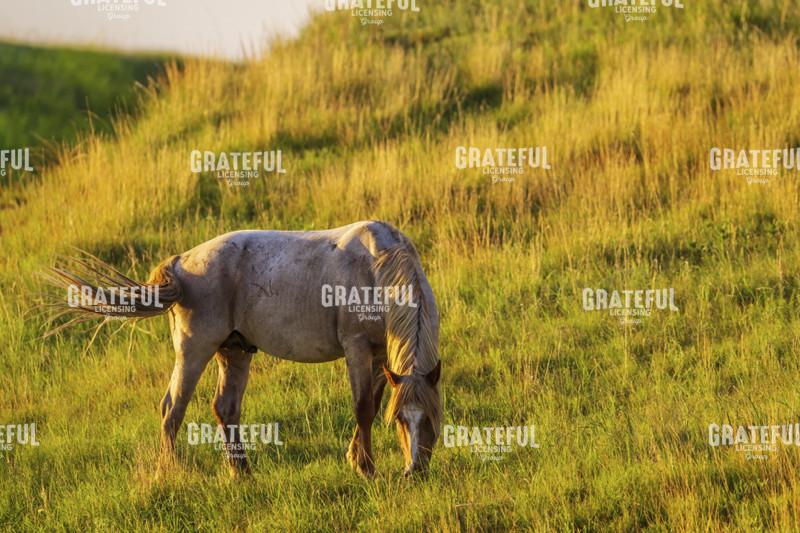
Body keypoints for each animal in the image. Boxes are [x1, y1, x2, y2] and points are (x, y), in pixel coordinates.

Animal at [45, 220, 442, 478]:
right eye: (401, 422)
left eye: (432, 419)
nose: (416, 471)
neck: (376, 266)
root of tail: (179, 263)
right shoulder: (356, 348)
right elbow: (363, 408)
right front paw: (366, 470)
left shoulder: (379, 355)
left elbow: (372, 404)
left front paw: (356, 458)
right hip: (194, 352)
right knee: (172, 408)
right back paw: (169, 474)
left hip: (234, 351)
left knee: (225, 408)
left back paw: (242, 472)